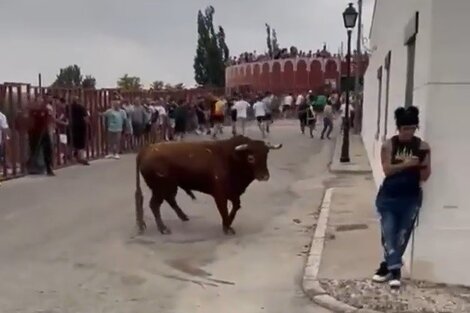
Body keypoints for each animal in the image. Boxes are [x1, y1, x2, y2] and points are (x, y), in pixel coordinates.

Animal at [136, 134, 282, 234]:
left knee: (169, 200)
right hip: (160, 187)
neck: (231, 158)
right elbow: (223, 209)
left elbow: (236, 206)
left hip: (169, 187)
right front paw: (227, 227)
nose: (264, 176)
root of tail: (146, 150)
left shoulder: (233, 193)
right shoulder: (219, 194)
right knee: (154, 205)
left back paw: (183, 217)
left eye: (266, 155)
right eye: (251, 158)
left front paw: (227, 224)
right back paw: (163, 228)